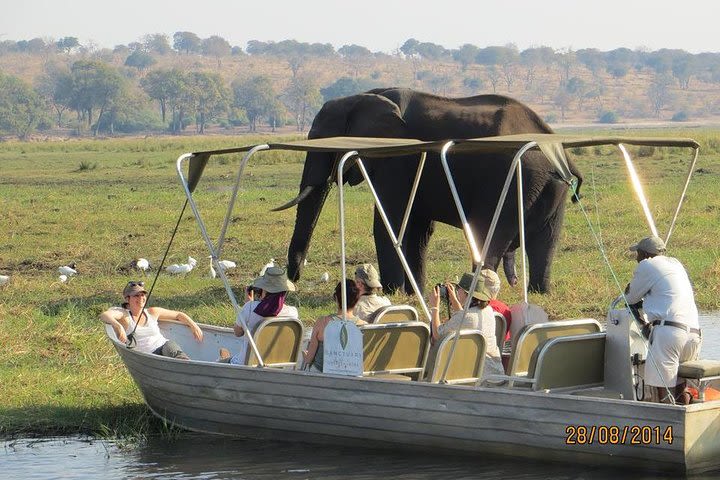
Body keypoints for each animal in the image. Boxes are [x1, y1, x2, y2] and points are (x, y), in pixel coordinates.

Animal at [276, 88, 580, 294]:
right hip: (549, 185)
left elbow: (390, 221)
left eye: (320, 140)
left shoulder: (396, 159)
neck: (363, 96)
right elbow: (419, 229)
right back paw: (539, 293)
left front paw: (391, 293)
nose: (294, 279)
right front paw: (414, 293)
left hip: (515, 178)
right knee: (547, 240)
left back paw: (475, 292)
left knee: (489, 234)